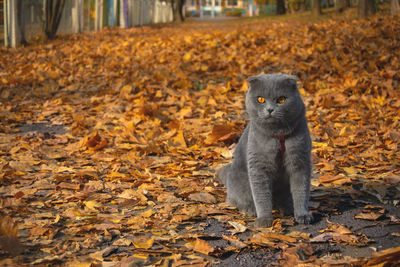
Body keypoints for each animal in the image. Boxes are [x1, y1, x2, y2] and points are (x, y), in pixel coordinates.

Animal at [217, 74, 314, 228]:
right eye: (260, 99)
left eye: (281, 99)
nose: (269, 109)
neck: (278, 135)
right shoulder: (258, 165)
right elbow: (261, 194)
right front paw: (264, 219)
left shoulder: (300, 160)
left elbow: (301, 190)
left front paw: (303, 215)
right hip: (240, 184)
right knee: (236, 199)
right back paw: (250, 209)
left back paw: (287, 207)